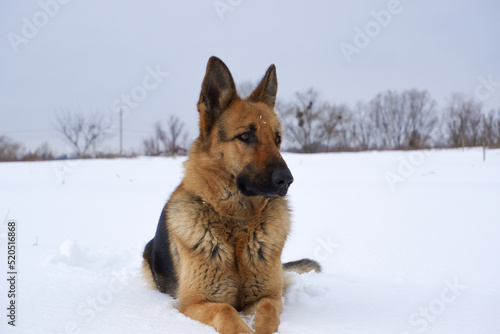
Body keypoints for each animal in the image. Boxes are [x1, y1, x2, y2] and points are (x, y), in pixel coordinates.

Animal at [143, 56, 320, 332]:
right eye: (245, 136)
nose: (287, 180)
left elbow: (267, 311)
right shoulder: (194, 303)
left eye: (277, 139)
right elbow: (226, 311)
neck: (237, 225)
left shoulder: (269, 296)